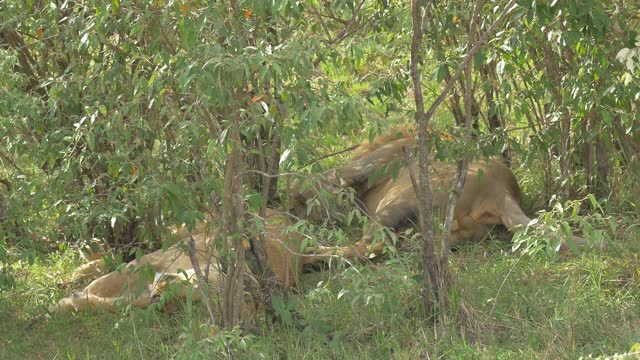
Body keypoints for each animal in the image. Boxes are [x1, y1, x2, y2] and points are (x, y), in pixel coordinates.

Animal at [55, 210, 316, 314]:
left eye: (192, 300)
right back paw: (88, 255)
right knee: (145, 241)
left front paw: (70, 302)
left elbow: (117, 304)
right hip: (188, 228)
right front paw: (74, 295)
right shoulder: (153, 260)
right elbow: (106, 281)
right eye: (204, 283)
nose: (159, 291)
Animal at [288, 128, 592, 260]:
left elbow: (325, 180)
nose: (293, 212)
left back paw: (310, 256)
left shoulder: (368, 166)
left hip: (400, 199)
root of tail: (503, 190)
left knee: (371, 246)